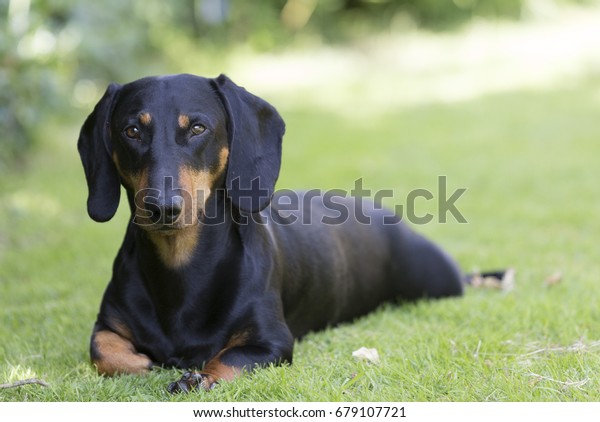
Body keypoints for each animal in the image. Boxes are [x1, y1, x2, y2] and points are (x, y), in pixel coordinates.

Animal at [77, 73, 466, 392]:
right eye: (131, 131)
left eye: (198, 128)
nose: (162, 207)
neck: (181, 270)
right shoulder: (106, 325)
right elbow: (103, 350)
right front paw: (143, 364)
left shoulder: (270, 342)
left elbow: (227, 359)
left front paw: (200, 377)